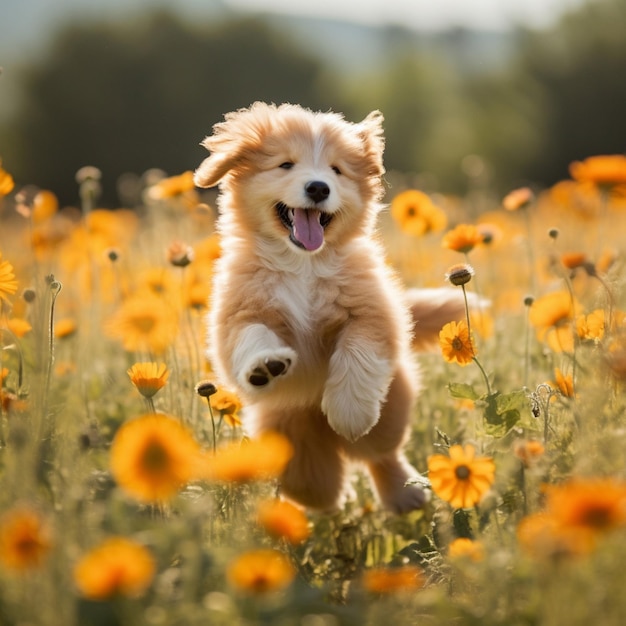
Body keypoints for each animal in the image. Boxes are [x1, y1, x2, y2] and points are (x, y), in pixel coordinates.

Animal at [195, 103, 468, 512]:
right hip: (291, 441)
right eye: (285, 165)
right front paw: (265, 366)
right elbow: (251, 335)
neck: (302, 264)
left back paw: (405, 493)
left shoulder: (372, 311)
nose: (318, 187)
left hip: (391, 407)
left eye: (336, 170)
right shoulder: (235, 314)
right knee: (317, 485)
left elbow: (358, 352)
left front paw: (349, 412)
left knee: (379, 453)